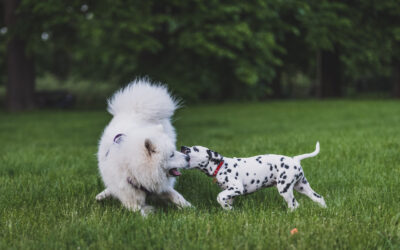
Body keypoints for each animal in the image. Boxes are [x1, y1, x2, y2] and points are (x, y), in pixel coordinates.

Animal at [96, 79, 191, 216]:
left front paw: (190, 208)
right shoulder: (131, 200)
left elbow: (177, 196)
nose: (188, 157)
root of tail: (135, 110)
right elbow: (139, 212)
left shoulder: (160, 187)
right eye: (171, 154)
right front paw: (149, 215)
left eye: (174, 150)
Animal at [180, 142, 326, 210]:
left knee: (294, 204)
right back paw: (324, 209)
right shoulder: (230, 192)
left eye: (195, 148)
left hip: (285, 188)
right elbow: (225, 199)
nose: (182, 146)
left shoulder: (237, 188)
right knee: (318, 198)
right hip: (301, 186)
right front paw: (229, 210)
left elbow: (219, 197)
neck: (221, 165)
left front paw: (228, 208)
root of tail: (295, 159)